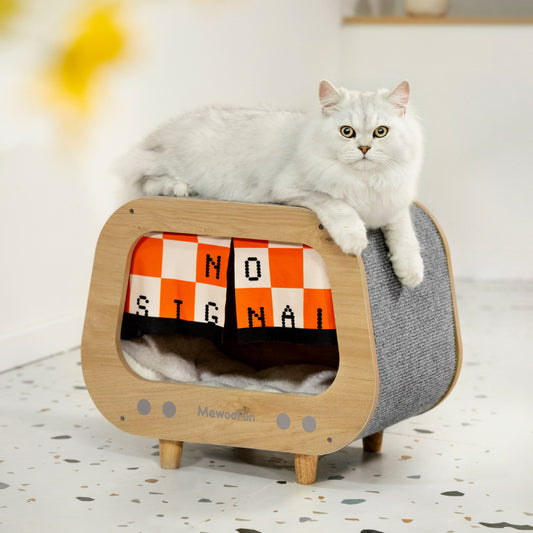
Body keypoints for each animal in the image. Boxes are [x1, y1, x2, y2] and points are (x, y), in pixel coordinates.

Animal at [119, 79, 424, 284]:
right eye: (346, 132)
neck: (365, 182)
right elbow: (340, 207)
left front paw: (410, 274)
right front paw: (355, 241)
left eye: (381, 132)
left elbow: (405, 236)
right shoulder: (293, 188)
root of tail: (162, 131)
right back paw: (181, 188)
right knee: (148, 181)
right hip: (170, 162)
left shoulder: (394, 206)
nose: (364, 149)